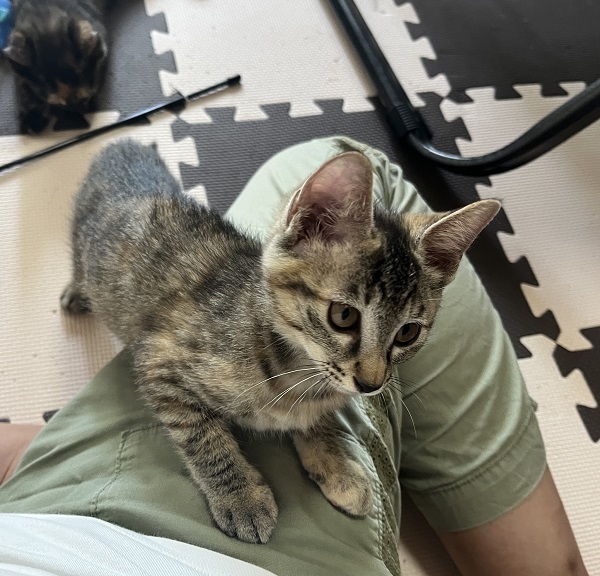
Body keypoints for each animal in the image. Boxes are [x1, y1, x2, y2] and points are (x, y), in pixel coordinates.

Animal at [61, 139, 500, 543]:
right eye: (344, 316)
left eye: (408, 332)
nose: (371, 384)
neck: (296, 366)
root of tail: (124, 146)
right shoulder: (159, 360)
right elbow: (203, 437)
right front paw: (241, 498)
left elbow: (318, 420)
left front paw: (337, 466)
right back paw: (75, 293)